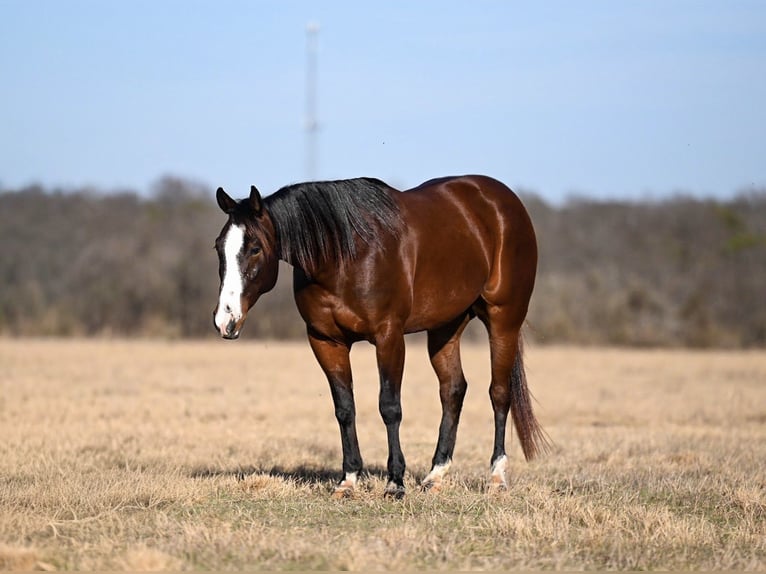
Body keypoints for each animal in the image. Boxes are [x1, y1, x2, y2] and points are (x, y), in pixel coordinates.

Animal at [212, 175, 548, 498]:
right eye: (219, 247)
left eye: (254, 248)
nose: (225, 319)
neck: (342, 256)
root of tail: (503, 200)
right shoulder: (326, 341)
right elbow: (345, 408)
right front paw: (348, 480)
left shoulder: (389, 337)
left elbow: (389, 407)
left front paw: (395, 482)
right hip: (445, 327)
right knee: (453, 390)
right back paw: (435, 476)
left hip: (503, 319)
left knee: (499, 392)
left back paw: (496, 477)